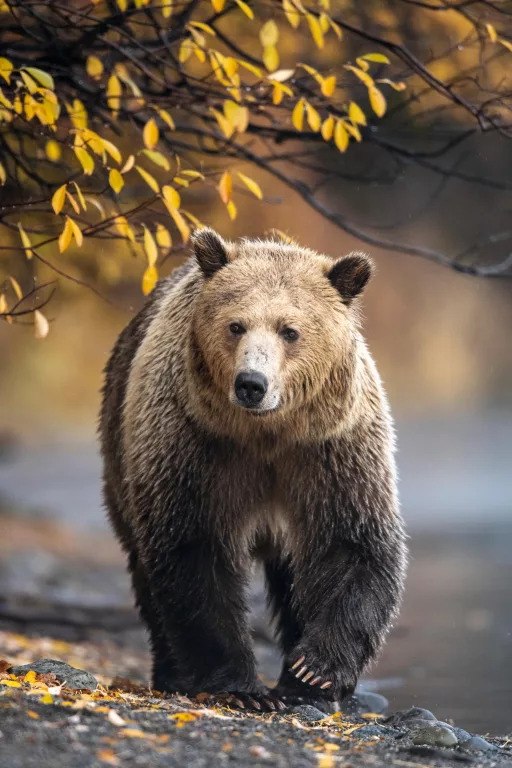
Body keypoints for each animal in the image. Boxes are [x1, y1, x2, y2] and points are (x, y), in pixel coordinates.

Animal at [98, 230, 406, 712]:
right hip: (121, 451)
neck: (266, 432)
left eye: (290, 330)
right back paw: (171, 672)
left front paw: (315, 671)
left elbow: (351, 544)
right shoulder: (194, 446)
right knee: (145, 570)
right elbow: (194, 551)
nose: (251, 383)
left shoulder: (331, 452)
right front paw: (242, 688)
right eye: (235, 325)